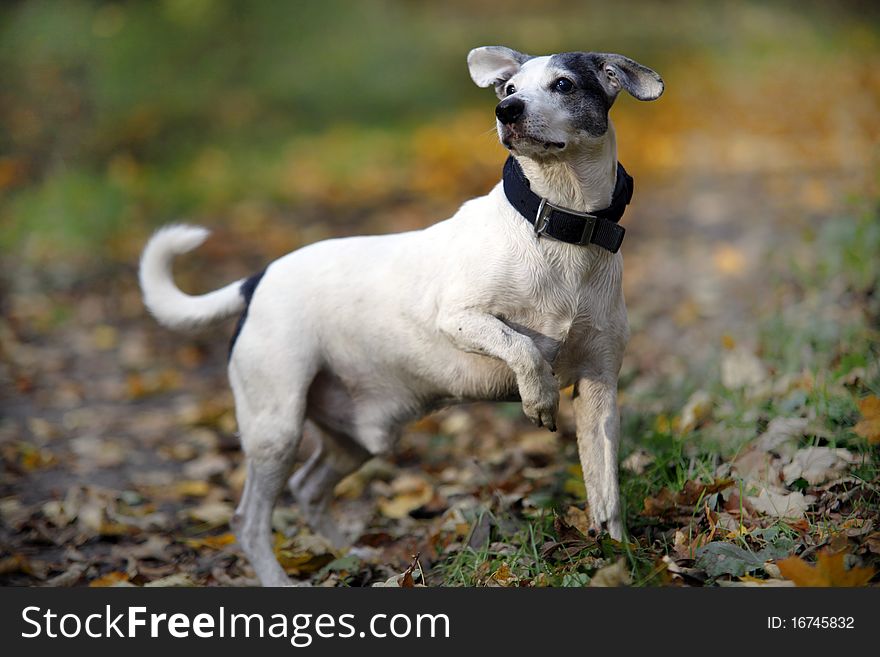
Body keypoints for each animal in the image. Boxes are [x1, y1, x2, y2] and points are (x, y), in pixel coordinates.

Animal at [139, 48, 660, 588]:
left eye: (563, 84)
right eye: (510, 89)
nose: (506, 112)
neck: (561, 226)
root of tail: (257, 279)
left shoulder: (599, 388)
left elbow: (606, 491)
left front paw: (617, 555)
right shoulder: (458, 318)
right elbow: (522, 347)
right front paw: (537, 395)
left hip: (354, 439)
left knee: (308, 488)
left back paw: (351, 554)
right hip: (276, 429)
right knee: (249, 520)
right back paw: (281, 577)